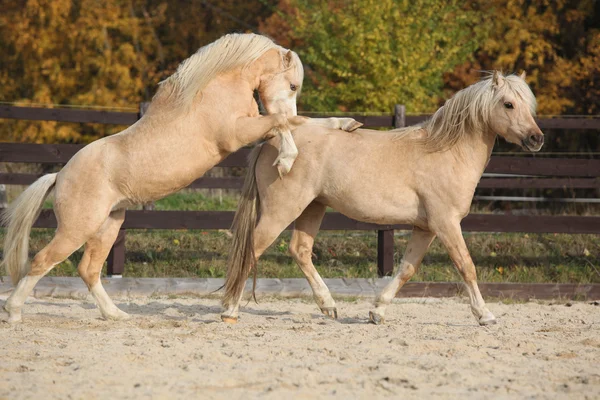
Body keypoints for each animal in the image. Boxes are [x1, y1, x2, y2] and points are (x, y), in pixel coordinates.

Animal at [1, 32, 360, 324]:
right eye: (293, 85)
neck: (217, 88)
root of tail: (61, 174)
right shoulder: (238, 133)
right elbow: (284, 121)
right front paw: (287, 159)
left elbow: (299, 120)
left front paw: (346, 124)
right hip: (77, 228)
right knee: (42, 261)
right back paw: (14, 313)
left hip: (108, 225)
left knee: (88, 270)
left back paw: (116, 315)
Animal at [220, 72, 544, 326]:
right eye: (508, 104)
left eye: (529, 105)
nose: (536, 139)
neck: (446, 151)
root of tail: (272, 140)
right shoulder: (446, 223)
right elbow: (466, 265)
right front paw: (485, 315)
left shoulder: (426, 228)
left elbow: (407, 269)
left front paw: (377, 312)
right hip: (282, 210)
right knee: (252, 249)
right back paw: (230, 310)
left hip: (313, 207)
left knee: (299, 250)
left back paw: (328, 306)